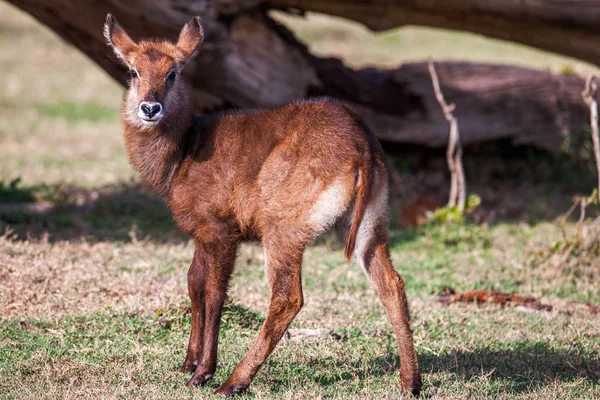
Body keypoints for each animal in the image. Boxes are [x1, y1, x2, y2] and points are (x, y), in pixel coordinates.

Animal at [103, 14, 422, 396]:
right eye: (133, 70)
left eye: (173, 73)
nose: (150, 108)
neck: (185, 150)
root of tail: (360, 143)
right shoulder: (201, 233)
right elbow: (194, 282)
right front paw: (187, 364)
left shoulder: (220, 231)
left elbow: (214, 293)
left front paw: (202, 372)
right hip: (370, 226)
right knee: (392, 284)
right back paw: (410, 383)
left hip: (282, 228)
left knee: (287, 297)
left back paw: (233, 382)